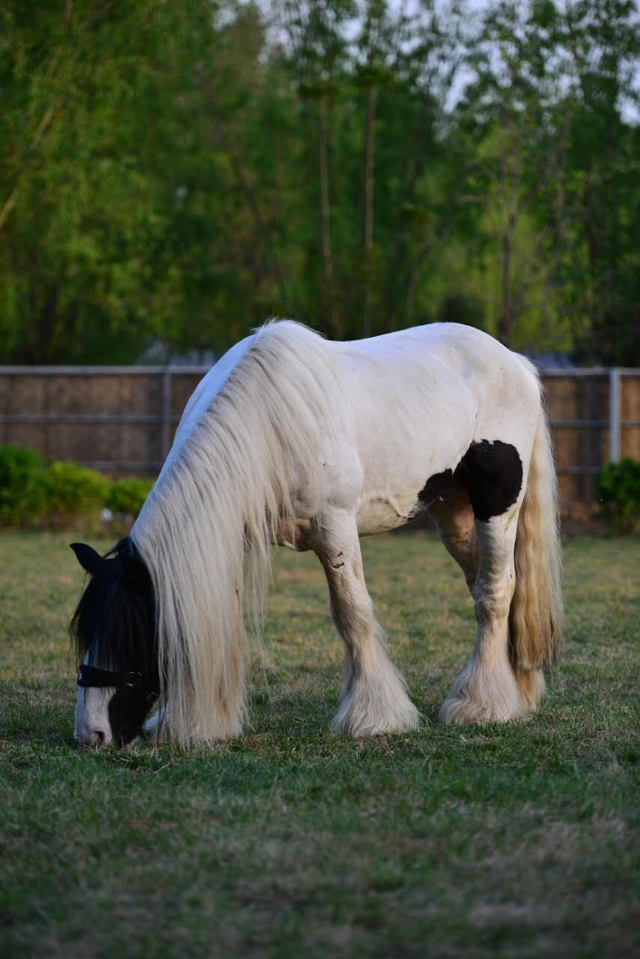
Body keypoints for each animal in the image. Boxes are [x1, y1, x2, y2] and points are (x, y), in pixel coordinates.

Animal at [71, 322, 560, 752]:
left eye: (129, 634)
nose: (91, 735)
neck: (268, 424)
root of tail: (513, 361)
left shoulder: (335, 526)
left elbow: (353, 614)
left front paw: (375, 717)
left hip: (496, 504)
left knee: (495, 592)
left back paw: (481, 704)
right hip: (452, 511)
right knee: (487, 586)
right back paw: (517, 688)